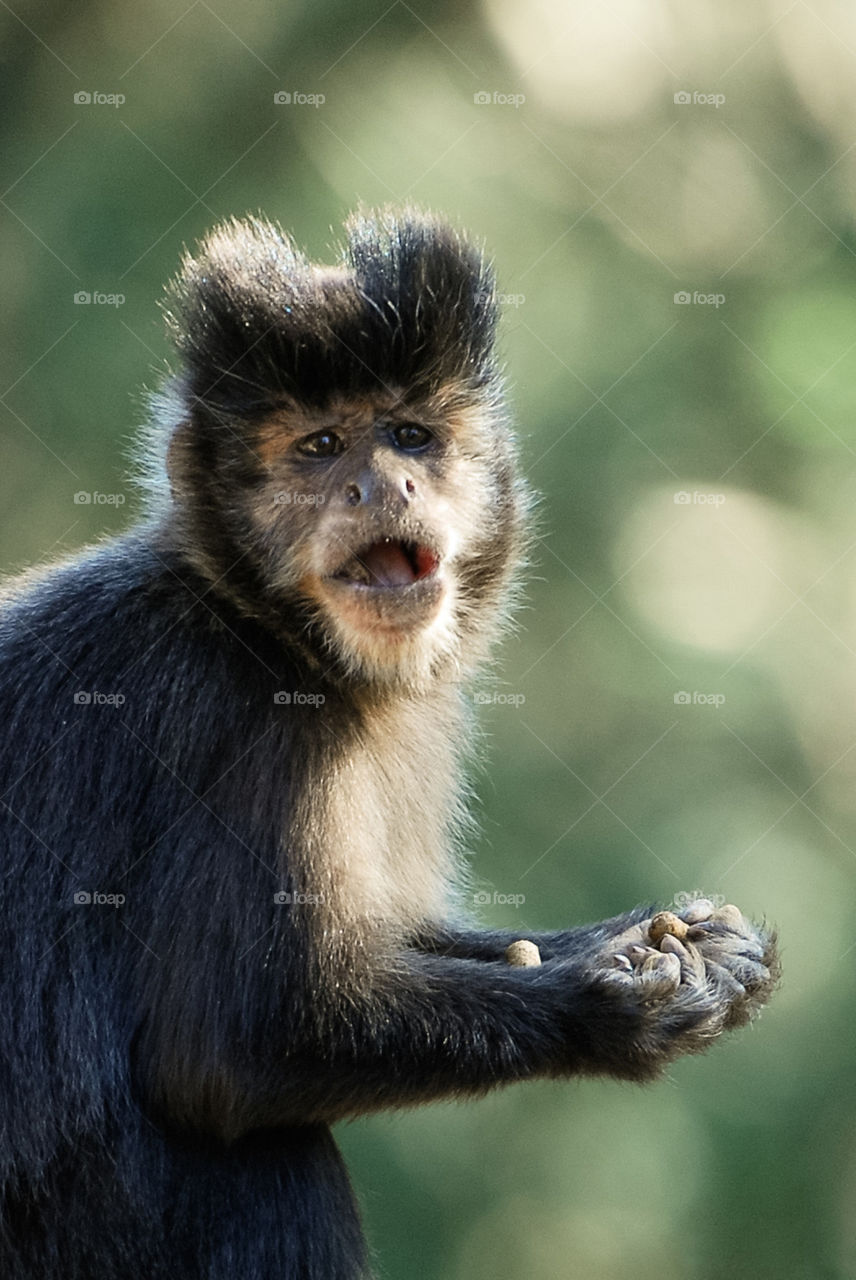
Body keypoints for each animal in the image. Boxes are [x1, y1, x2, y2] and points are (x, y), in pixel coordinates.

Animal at [0, 208, 778, 1279]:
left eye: (410, 435)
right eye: (324, 445)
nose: (384, 483)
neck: (260, 627)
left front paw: (677, 939)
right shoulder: (239, 722)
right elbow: (219, 1055)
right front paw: (604, 1009)